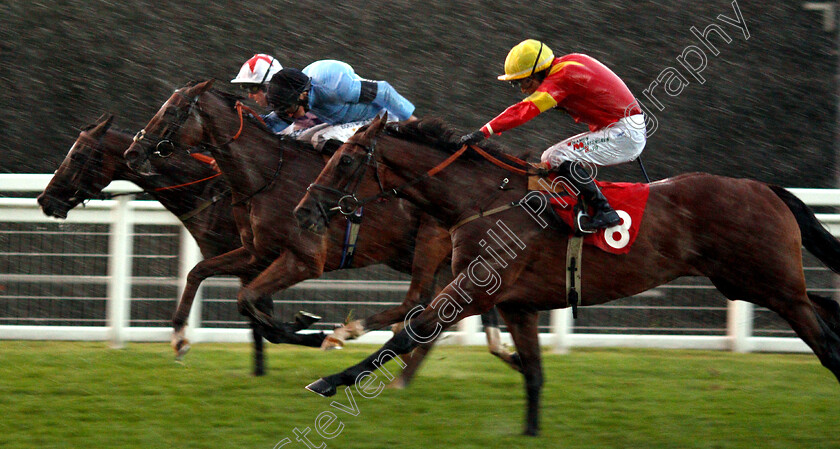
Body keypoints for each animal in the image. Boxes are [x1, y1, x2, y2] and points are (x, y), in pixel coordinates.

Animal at [37, 114, 324, 374]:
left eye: (77, 155)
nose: (44, 199)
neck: (207, 195)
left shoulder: (256, 262)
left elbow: (262, 323)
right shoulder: (247, 264)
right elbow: (258, 320)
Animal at [123, 80, 520, 382]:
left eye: (172, 112)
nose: (132, 152)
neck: (266, 175)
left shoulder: (305, 259)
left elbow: (248, 298)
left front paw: (313, 331)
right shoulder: (255, 252)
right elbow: (200, 273)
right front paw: (178, 337)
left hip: (428, 244)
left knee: (421, 299)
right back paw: (498, 350)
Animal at [296, 114, 840, 436]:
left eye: (345, 159)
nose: (304, 211)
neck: (483, 200)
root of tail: (765, 188)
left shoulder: (474, 290)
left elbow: (409, 332)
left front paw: (329, 379)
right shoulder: (516, 304)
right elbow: (534, 373)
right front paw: (530, 433)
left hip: (771, 284)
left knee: (826, 342)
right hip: (750, 282)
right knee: (827, 308)